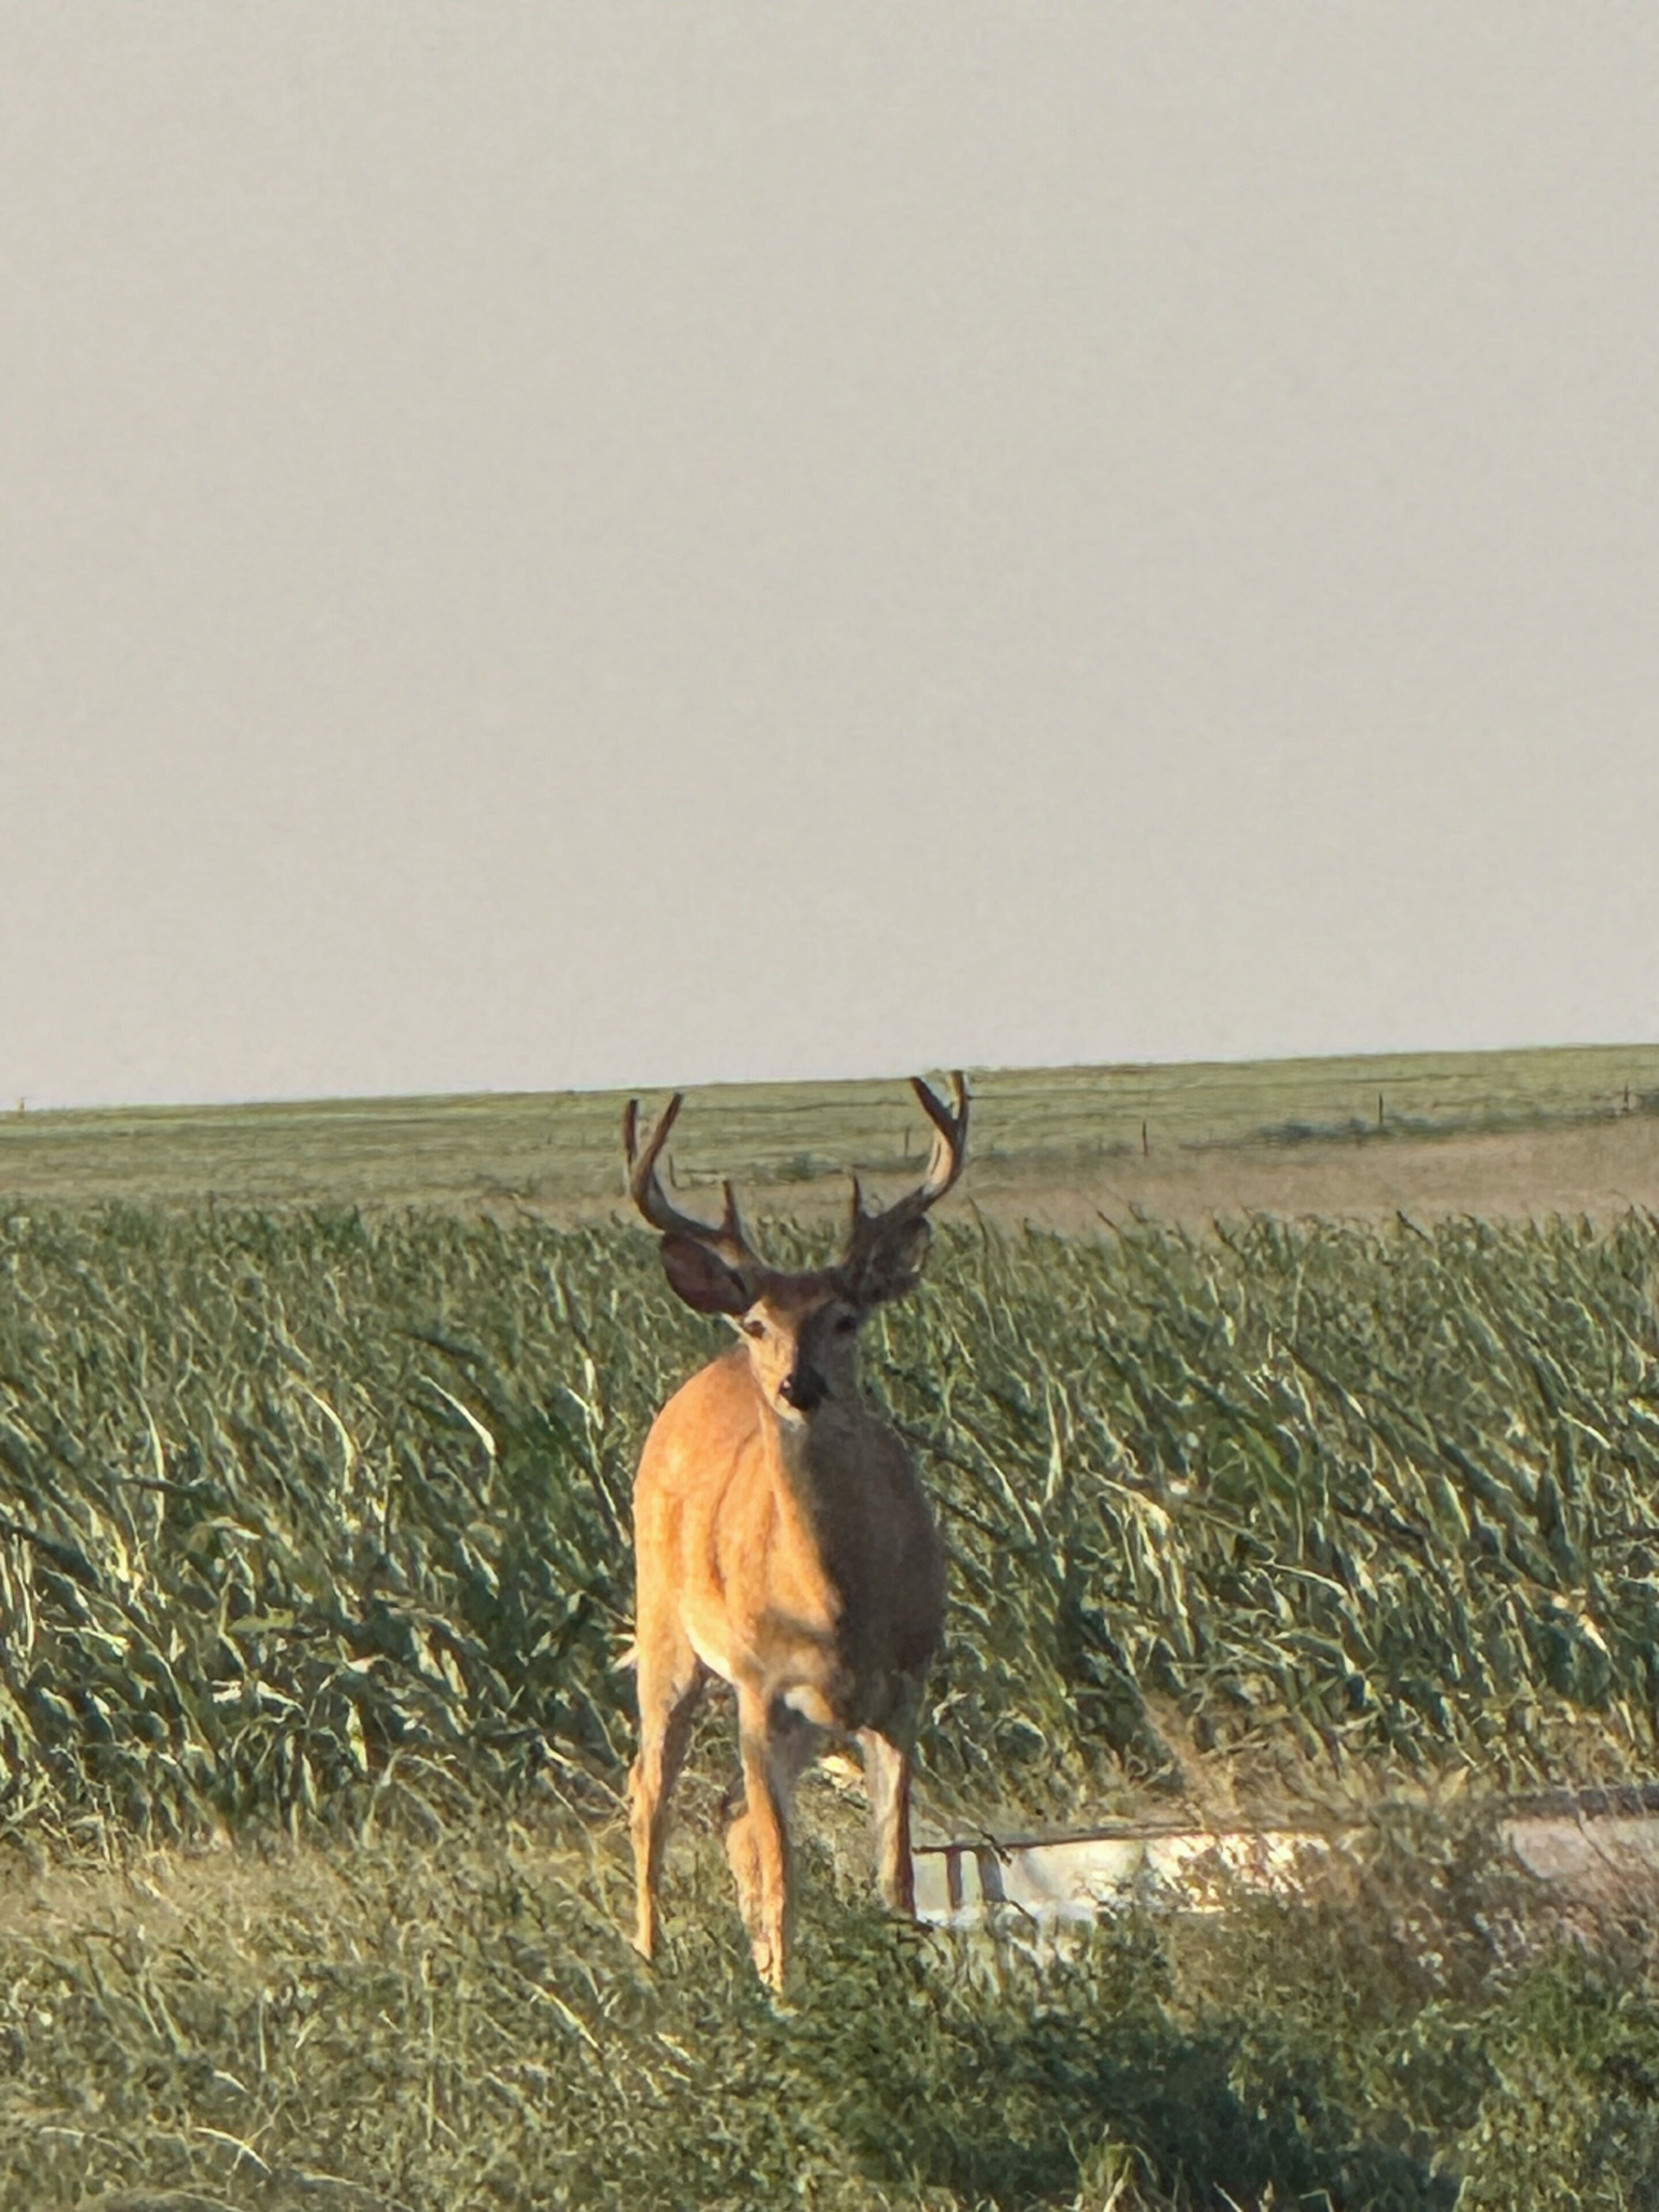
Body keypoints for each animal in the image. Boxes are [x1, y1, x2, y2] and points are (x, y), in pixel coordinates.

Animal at [621, 1073, 968, 1993]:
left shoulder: (904, 1690)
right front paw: (784, 2000)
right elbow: (784, 1874)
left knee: (729, 1822)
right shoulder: (760, 1687)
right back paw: (648, 1965)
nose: (796, 1385)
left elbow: (898, 1878)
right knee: (649, 1791)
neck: (833, 1604)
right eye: (758, 1324)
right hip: (665, 1627)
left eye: (847, 1318)